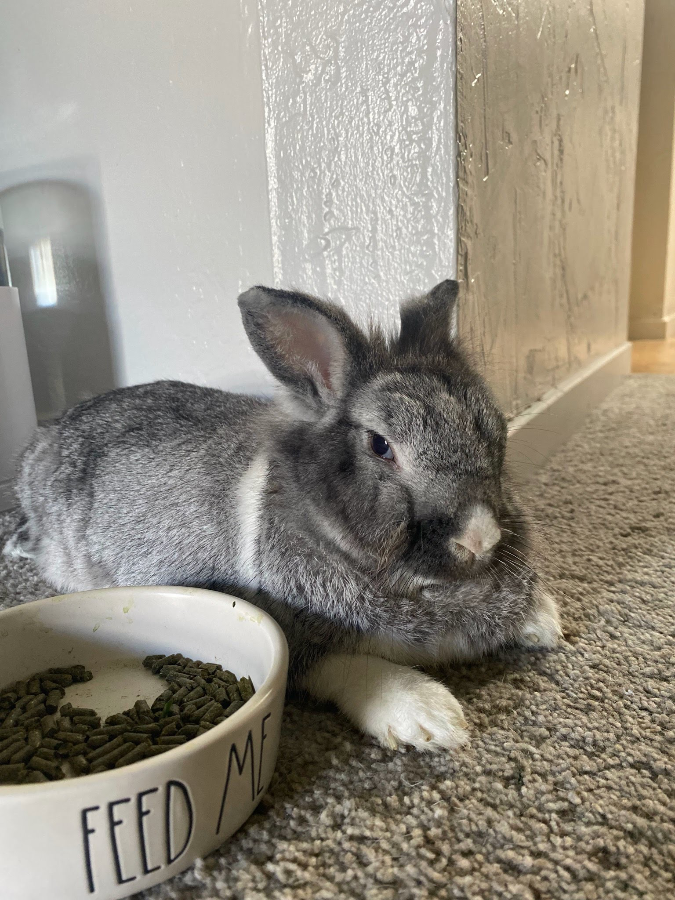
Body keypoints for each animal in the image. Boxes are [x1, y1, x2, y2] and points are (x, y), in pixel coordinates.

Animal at [4, 280, 561, 751]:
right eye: (380, 446)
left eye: (496, 432)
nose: (479, 539)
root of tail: (44, 438)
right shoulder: (294, 635)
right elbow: (347, 666)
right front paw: (431, 718)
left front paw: (546, 622)